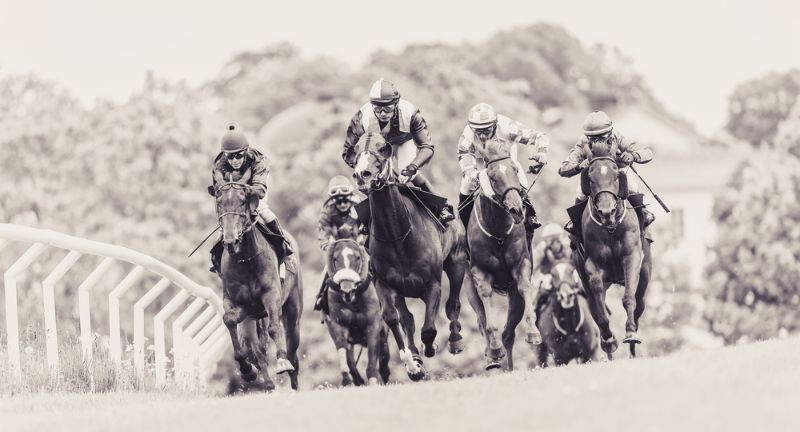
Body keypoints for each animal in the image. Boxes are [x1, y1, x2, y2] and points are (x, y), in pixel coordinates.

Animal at [214, 179, 302, 392]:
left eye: (242, 202)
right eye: (219, 203)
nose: (230, 240)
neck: (245, 260)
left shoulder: (271, 295)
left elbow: (273, 328)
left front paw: (281, 363)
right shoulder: (237, 304)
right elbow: (229, 320)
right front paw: (246, 369)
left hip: (293, 311)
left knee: (293, 351)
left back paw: (293, 383)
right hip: (251, 320)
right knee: (256, 348)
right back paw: (267, 383)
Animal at [322, 238, 390, 386]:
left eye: (358, 258)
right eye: (335, 259)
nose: (347, 290)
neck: (353, 302)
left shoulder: (373, 325)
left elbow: (372, 360)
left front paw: (373, 380)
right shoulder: (338, 325)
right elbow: (344, 352)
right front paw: (348, 380)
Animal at [350, 132, 468, 382]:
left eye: (382, 147)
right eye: (354, 149)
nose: (362, 175)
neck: (397, 236)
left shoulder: (432, 283)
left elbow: (430, 329)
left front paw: (429, 348)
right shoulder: (385, 283)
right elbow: (394, 319)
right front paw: (413, 364)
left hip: (457, 262)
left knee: (453, 304)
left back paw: (454, 340)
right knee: (408, 319)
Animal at [466, 138, 540, 372]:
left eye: (515, 170)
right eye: (492, 176)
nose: (516, 209)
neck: (497, 232)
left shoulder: (521, 265)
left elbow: (524, 285)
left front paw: (534, 333)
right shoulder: (479, 273)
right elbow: (487, 310)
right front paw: (494, 350)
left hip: (514, 298)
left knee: (509, 332)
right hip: (468, 289)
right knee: (482, 321)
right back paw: (493, 356)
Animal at [576, 143, 648, 356]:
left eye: (616, 176)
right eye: (590, 179)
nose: (607, 212)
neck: (610, 228)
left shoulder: (632, 257)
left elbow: (629, 298)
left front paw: (631, 333)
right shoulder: (593, 266)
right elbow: (599, 307)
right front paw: (608, 339)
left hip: (645, 275)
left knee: (639, 302)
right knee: (593, 305)